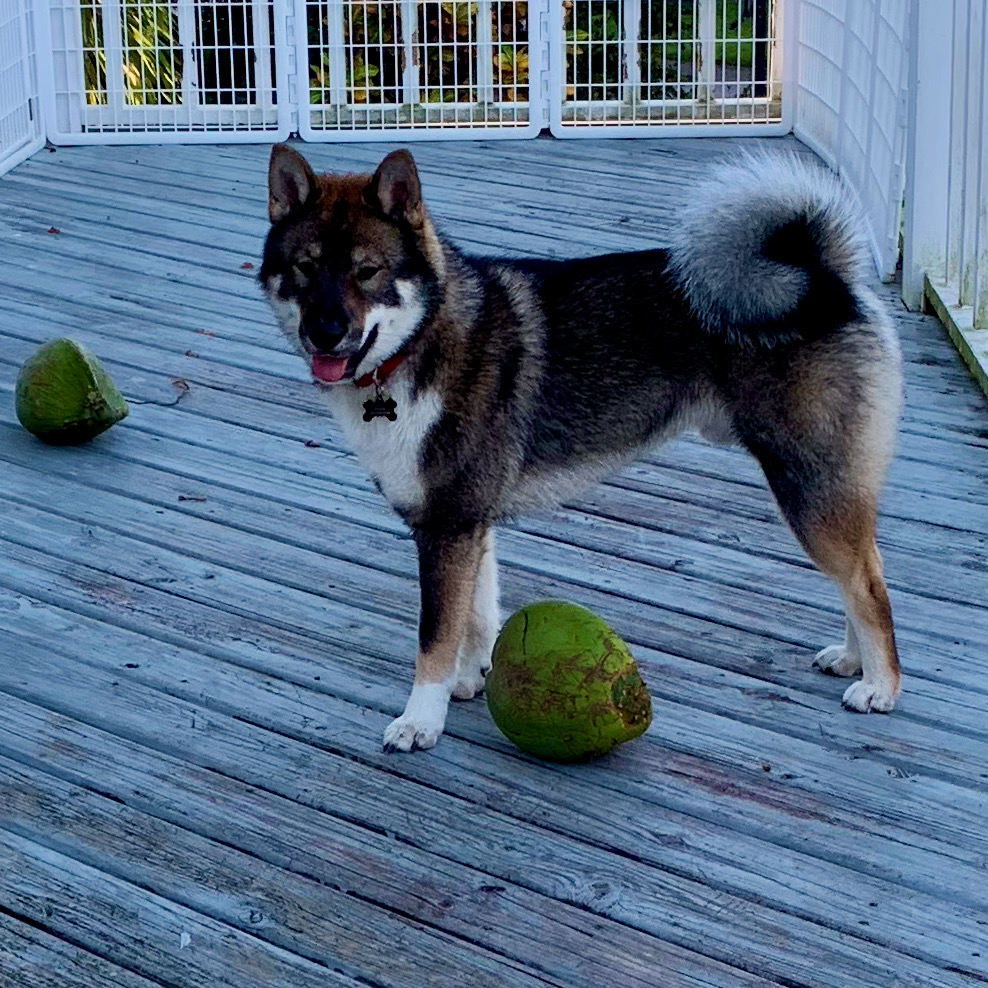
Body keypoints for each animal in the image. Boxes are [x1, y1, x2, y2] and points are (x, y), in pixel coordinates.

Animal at [260, 143, 904, 752]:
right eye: (305, 268)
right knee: (862, 570)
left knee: (867, 583)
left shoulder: (446, 528)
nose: (324, 332)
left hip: (808, 488)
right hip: (823, 491)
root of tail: (826, 277)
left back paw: (880, 685)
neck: (423, 341)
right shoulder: (469, 524)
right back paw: (853, 660)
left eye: (367, 272)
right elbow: (476, 615)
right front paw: (468, 681)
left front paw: (421, 719)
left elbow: (436, 635)